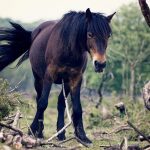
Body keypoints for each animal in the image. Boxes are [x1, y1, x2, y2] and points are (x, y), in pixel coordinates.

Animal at [0, 8, 115, 145]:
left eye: (108, 35)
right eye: (90, 34)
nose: (100, 64)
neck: (68, 50)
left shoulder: (75, 79)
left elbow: (77, 107)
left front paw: (82, 136)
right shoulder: (49, 76)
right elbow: (43, 103)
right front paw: (32, 130)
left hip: (65, 83)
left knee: (60, 103)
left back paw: (61, 134)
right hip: (38, 79)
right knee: (39, 99)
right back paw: (40, 132)